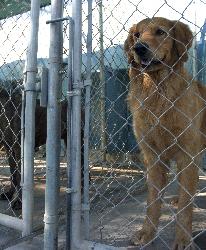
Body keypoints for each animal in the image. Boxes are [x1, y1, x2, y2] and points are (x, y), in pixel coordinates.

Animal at [124, 16, 206, 249]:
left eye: (160, 32)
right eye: (136, 34)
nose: (139, 48)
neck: (158, 90)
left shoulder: (188, 154)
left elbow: (186, 208)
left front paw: (183, 239)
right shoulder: (153, 157)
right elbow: (153, 201)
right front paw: (147, 232)